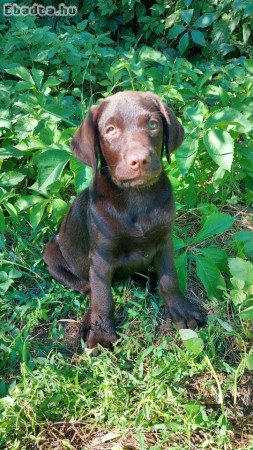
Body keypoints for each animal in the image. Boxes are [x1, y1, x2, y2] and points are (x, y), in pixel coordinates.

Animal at [43, 91, 204, 350]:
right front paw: (102, 334)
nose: (139, 160)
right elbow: (103, 298)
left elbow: (170, 279)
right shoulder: (101, 258)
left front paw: (181, 310)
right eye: (110, 130)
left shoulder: (164, 242)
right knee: (89, 289)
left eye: (153, 124)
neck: (136, 198)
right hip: (52, 256)